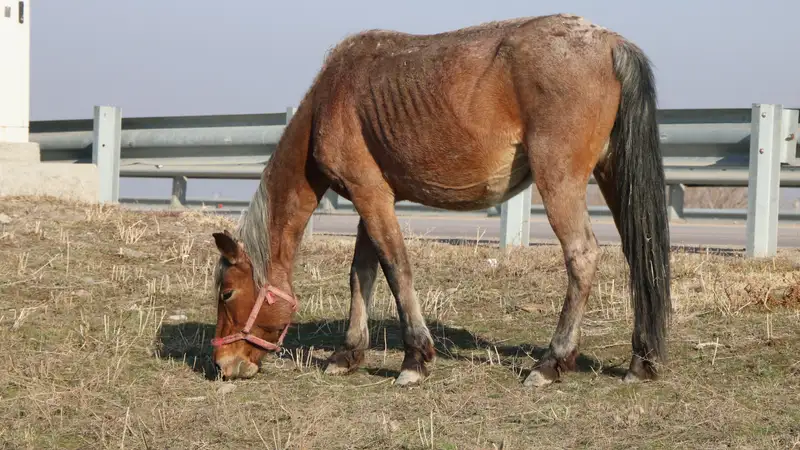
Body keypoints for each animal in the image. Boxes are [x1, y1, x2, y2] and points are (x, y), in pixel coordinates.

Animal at [206, 13, 668, 386]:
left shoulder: (370, 196)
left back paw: (551, 363)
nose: (224, 365)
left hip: (560, 182)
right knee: (639, 254)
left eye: (226, 293)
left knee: (582, 256)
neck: (330, 98)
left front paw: (415, 360)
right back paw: (641, 361)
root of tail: (610, 42)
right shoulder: (370, 200)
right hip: (612, 176)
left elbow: (397, 269)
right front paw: (348, 353)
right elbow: (361, 273)